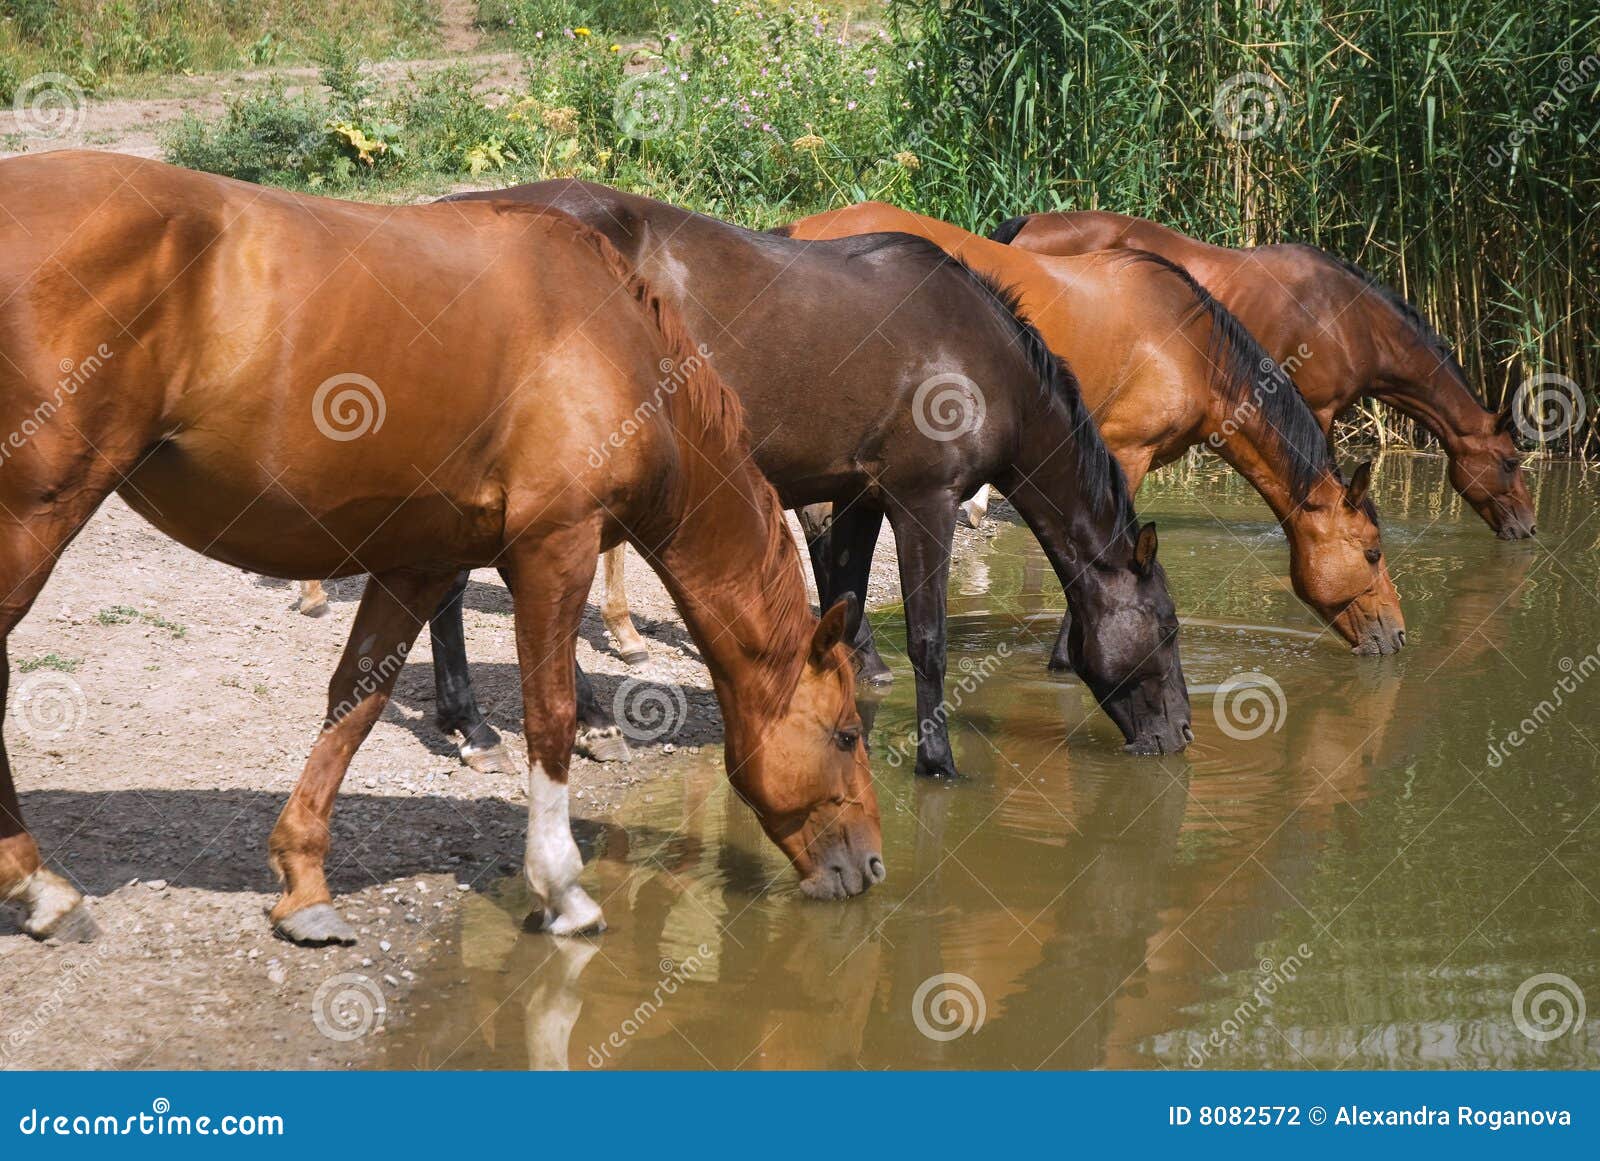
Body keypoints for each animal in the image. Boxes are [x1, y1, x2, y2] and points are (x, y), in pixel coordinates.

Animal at [0, 152, 880, 945]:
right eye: (846, 734)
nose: (871, 864)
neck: (615, 346)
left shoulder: (418, 561)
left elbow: (355, 700)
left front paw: (304, 881)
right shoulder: (555, 547)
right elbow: (550, 713)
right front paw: (562, 887)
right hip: (35, 517)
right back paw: (41, 886)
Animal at [422, 180, 1192, 779]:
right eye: (1166, 624)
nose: (1181, 733)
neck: (973, 351)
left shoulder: (856, 494)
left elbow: (844, 608)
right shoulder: (925, 501)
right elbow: (928, 640)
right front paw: (936, 761)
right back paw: (480, 728)